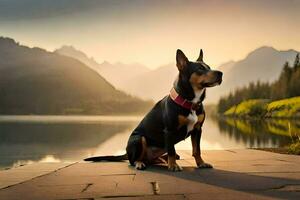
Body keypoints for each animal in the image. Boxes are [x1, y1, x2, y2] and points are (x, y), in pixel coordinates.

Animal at [85, 49, 223, 171]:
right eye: (200, 69)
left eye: (209, 67)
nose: (221, 73)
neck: (190, 102)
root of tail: (126, 152)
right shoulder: (169, 131)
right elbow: (172, 150)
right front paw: (173, 166)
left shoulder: (197, 129)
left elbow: (197, 150)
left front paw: (201, 163)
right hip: (139, 138)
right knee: (133, 160)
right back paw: (141, 163)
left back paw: (161, 161)